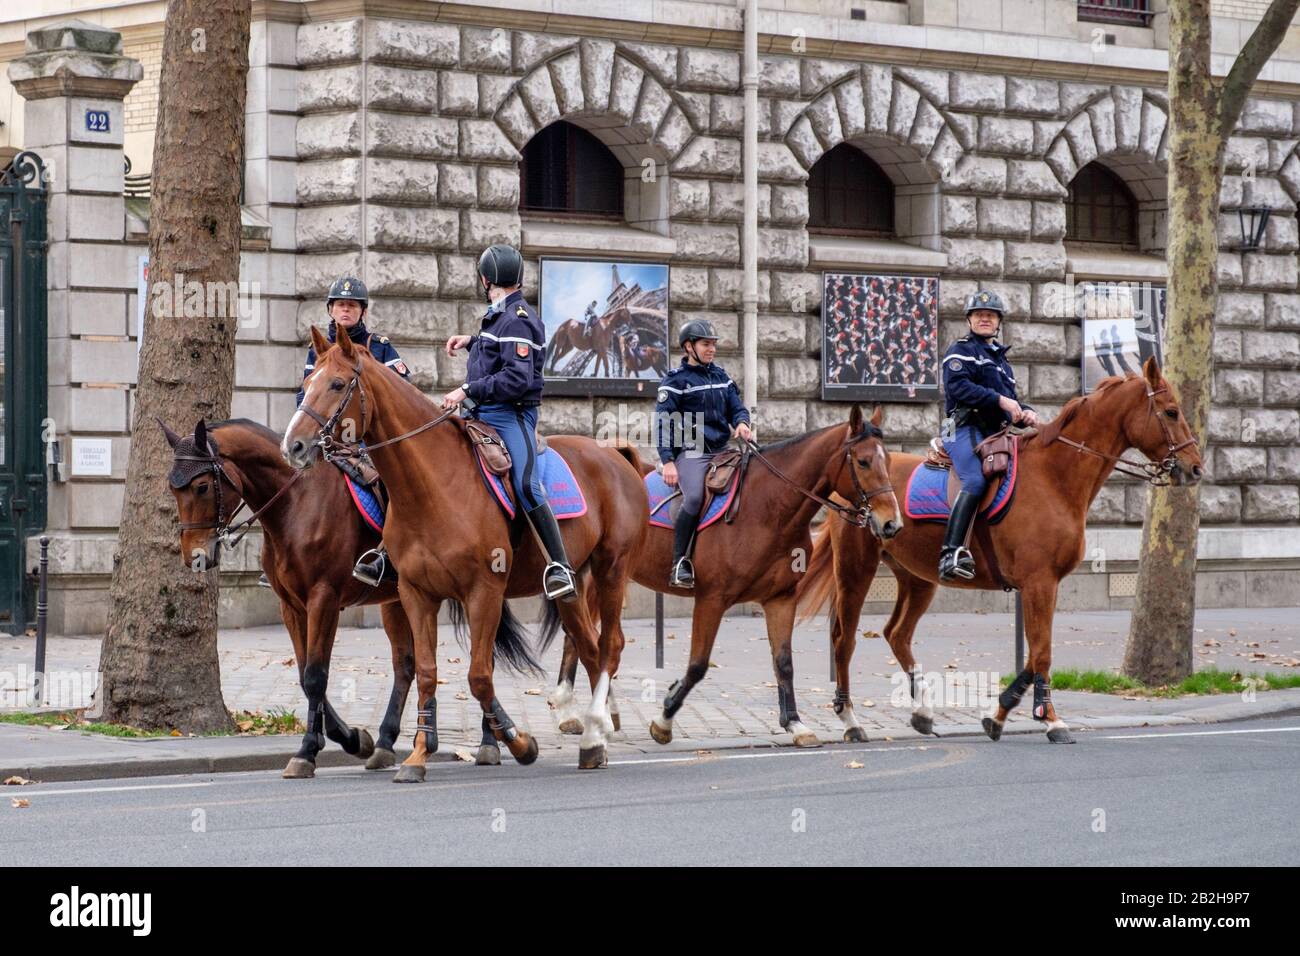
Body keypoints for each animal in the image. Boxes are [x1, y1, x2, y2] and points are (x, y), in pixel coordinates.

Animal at [162, 418, 416, 780]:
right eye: (173, 489)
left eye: (201, 487)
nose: (193, 556)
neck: (297, 504)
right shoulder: (292, 606)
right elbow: (304, 675)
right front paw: (352, 738)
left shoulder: (324, 599)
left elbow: (315, 675)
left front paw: (308, 751)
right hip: (396, 602)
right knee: (406, 665)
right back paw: (385, 743)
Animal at [284, 327, 650, 780]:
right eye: (306, 384)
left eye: (336, 384)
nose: (294, 446)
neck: (433, 485)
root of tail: (613, 453)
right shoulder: (416, 594)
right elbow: (426, 673)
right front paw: (418, 755)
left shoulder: (483, 592)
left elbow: (479, 676)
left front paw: (518, 742)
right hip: (572, 586)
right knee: (589, 648)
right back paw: (593, 741)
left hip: (611, 570)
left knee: (610, 645)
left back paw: (597, 727)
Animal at [543, 403, 899, 749]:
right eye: (864, 461)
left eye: (890, 460)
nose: (891, 523)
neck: (766, 507)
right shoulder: (711, 599)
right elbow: (698, 665)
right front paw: (664, 720)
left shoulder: (780, 599)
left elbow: (784, 663)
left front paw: (795, 724)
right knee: (578, 636)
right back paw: (576, 711)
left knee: (578, 636)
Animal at [795, 358, 1201, 738]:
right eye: (1171, 411)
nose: (1195, 468)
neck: (1055, 477)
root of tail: (843, 485)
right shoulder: (1039, 583)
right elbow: (1042, 652)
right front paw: (1050, 719)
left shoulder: (1045, 585)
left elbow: (1036, 652)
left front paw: (1000, 713)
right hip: (856, 570)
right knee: (844, 639)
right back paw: (850, 718)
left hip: (918, 578)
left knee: (897, 633)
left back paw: (922, 711)